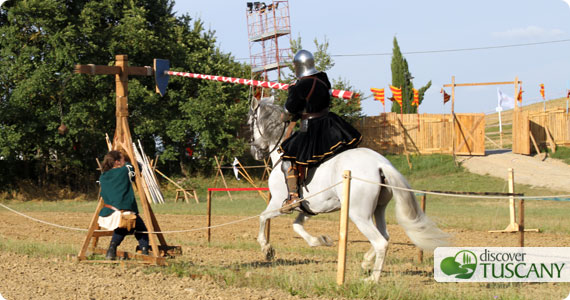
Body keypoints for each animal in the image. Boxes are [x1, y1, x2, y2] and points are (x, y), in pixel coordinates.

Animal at [248, 98, 448, 282]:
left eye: (250, 123)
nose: (254, 151)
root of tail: (380, 164)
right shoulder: (310, 208)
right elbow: (297, 226)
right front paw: (321, 240)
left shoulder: (278, 204)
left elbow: (262, 218)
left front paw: (267, 249)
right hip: (378, 209)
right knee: (385, 236)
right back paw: (366, 263)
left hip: (358, 214)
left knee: (381, 242)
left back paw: (372, 279)